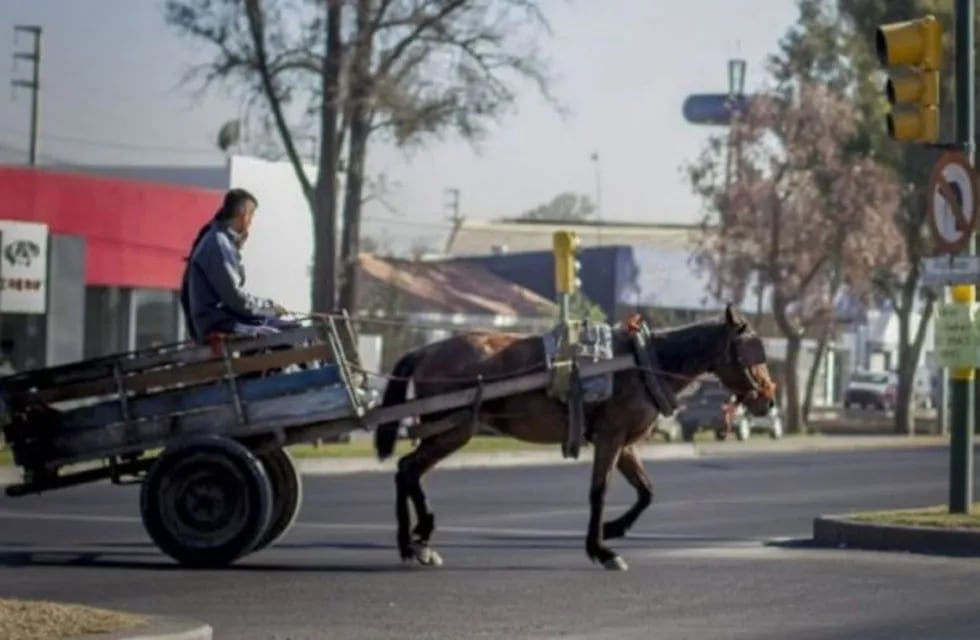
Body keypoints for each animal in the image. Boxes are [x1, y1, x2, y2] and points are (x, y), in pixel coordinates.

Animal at [372, 304, 776, 568]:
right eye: (753, 351)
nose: (769, 399)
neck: (642, 362)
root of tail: (427, 349)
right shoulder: (611, 437)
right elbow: (600, 492)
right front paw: (601, 549)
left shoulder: (624, 443)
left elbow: (646, 491)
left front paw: (613, 529)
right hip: (454, 429)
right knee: (409, 469)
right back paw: (418, 537)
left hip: (448, 430)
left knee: (407, 471)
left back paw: (413, 541)